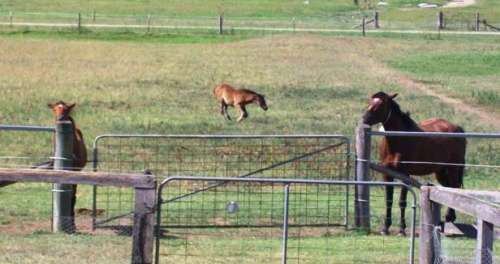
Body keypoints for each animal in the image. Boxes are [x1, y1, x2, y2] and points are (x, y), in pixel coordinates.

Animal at [364, 91, 464, 235]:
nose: (364, 119)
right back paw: (449, 217)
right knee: (448, 188)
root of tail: (457, 128)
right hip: (441, 171)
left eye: (381, 104)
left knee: (454, 187)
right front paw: (385, 227)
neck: (398, 141)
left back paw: (449, 217)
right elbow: (388, 200)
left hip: (453, 169)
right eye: (370, 102)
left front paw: (402, 229)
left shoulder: (405, 175)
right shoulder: (387, 174)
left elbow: (402, 201)